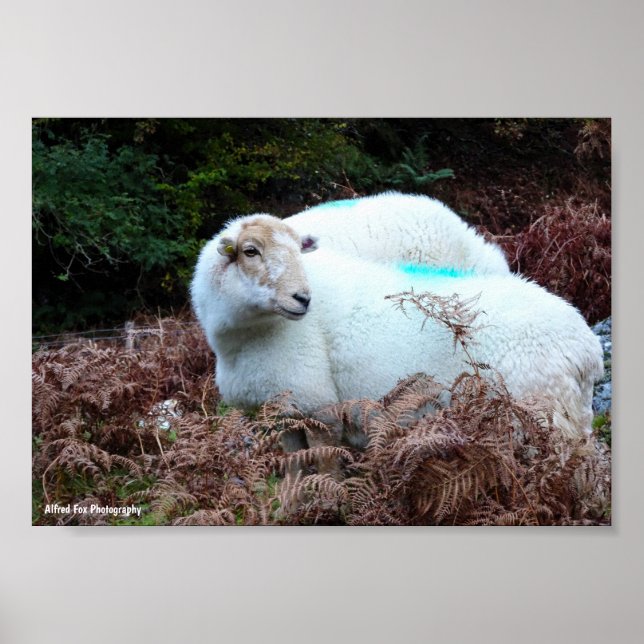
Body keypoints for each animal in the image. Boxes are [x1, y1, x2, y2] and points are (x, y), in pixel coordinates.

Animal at [191, 214, 603, 438]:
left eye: (299, 252)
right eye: (250, 251)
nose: (303, 299)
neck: (239, 341)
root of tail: (586, 350)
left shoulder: (312, 409)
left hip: (542, 421)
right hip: (570, 420)